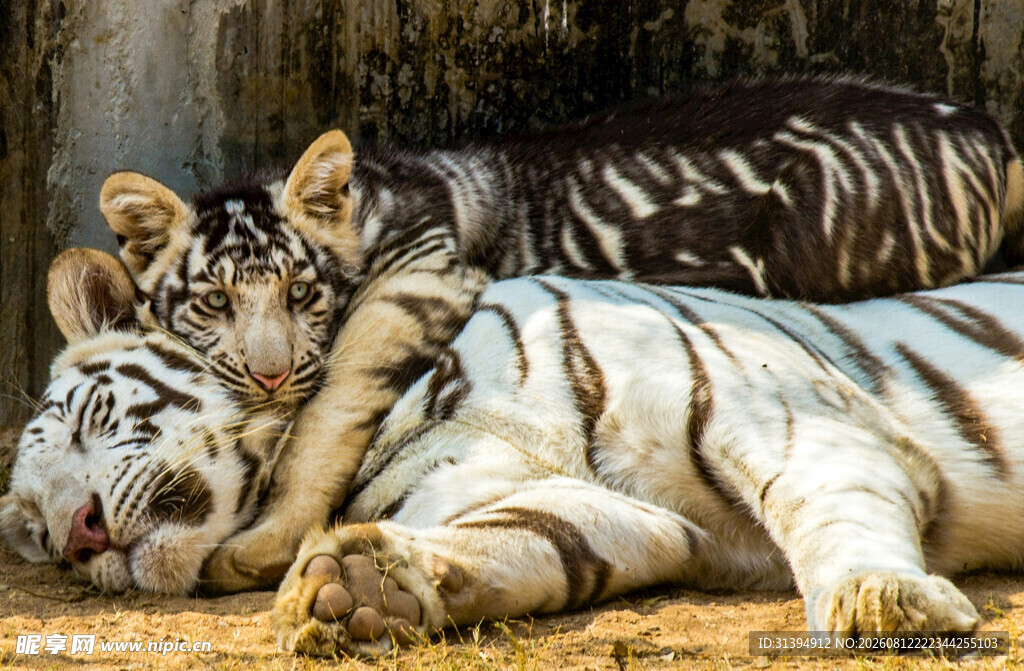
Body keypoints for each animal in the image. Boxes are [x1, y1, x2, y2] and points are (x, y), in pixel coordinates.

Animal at [97, 74, 1024, 591]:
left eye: (300, 293)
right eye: (213, 303)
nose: (268, 374)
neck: (371, 213)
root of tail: (988, 129)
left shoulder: (419, 279)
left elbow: (327, 415)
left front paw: (258, 544)